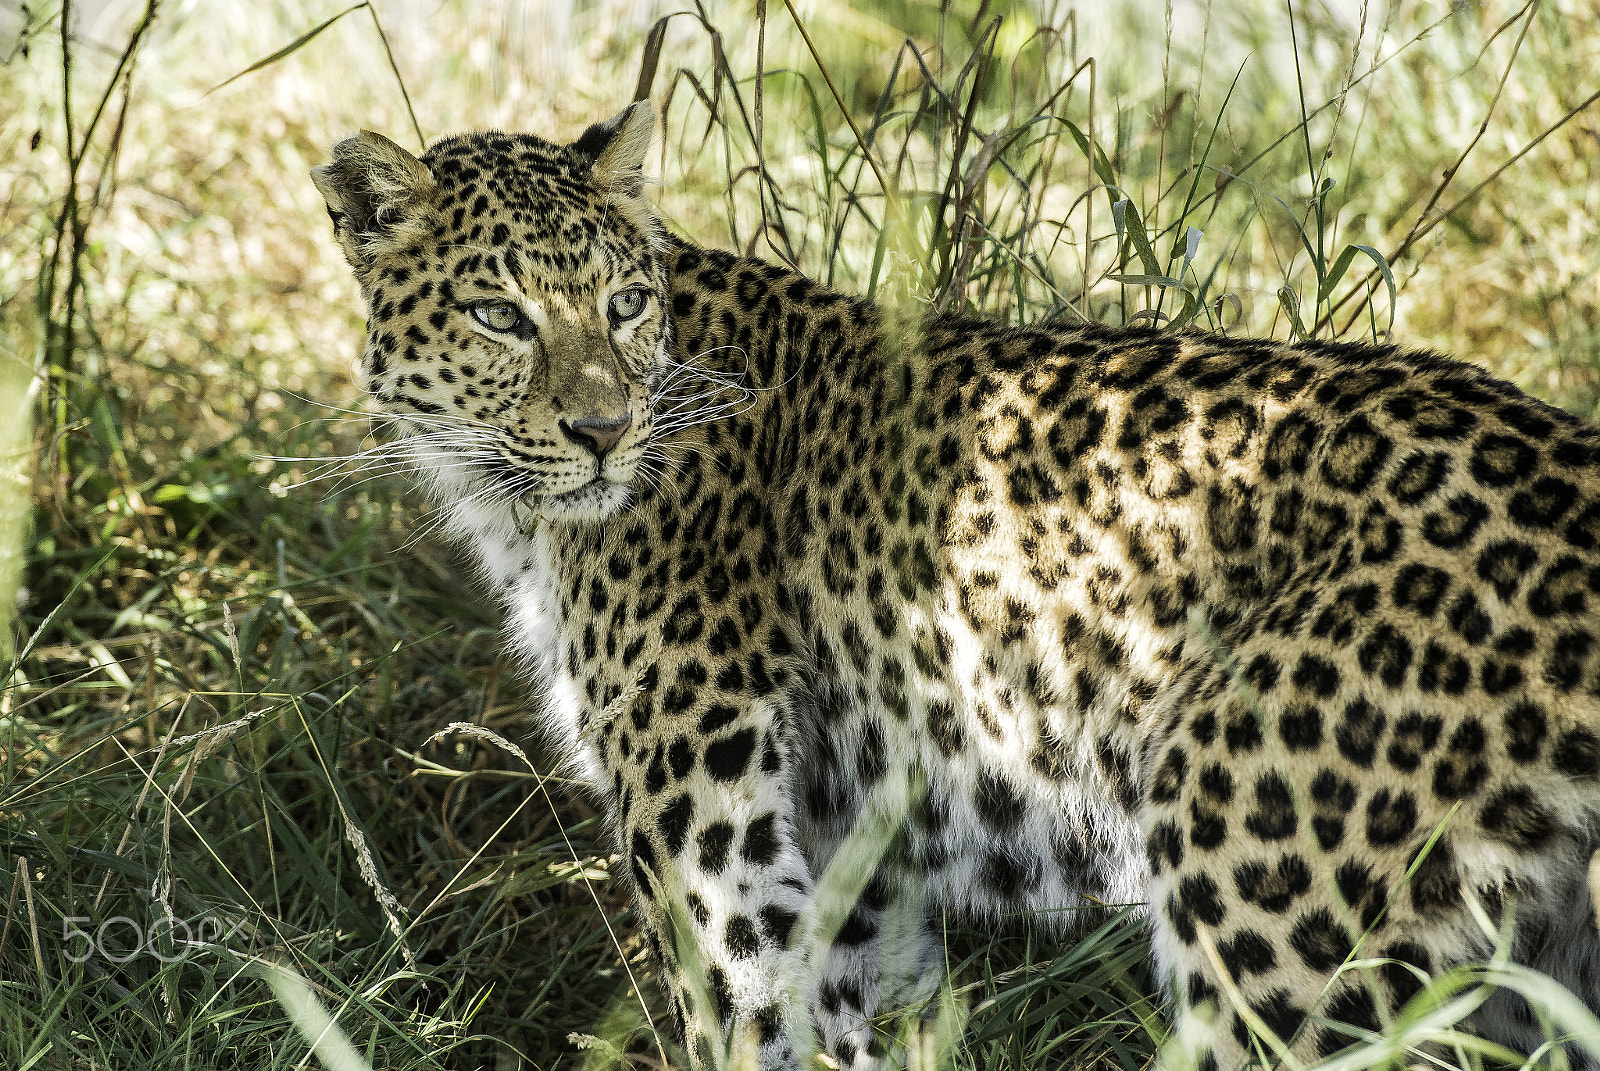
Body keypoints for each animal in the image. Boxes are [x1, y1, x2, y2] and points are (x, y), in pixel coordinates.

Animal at [311, 100, 1600, 1070]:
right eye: (498, 314)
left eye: (622, 303)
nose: (600, 430)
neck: (522, 517)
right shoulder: (851, 858)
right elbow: (853, 1028)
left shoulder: (712, 837)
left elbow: (750, 1025)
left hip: (1266, 902)